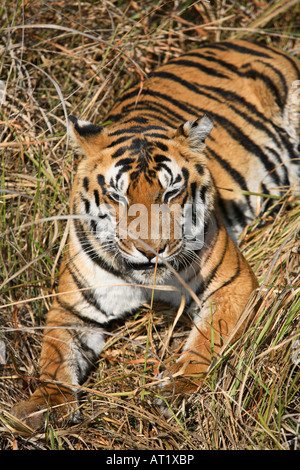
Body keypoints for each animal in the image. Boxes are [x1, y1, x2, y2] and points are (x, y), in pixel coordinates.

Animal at [11, 40, 300, 430]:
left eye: (171, 192)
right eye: (117, 196)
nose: (151, 250)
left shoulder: (234, 284)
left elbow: (209, 341)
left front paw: (178, 388)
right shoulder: (72, 307)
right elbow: (54, 357)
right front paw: (45, 405)